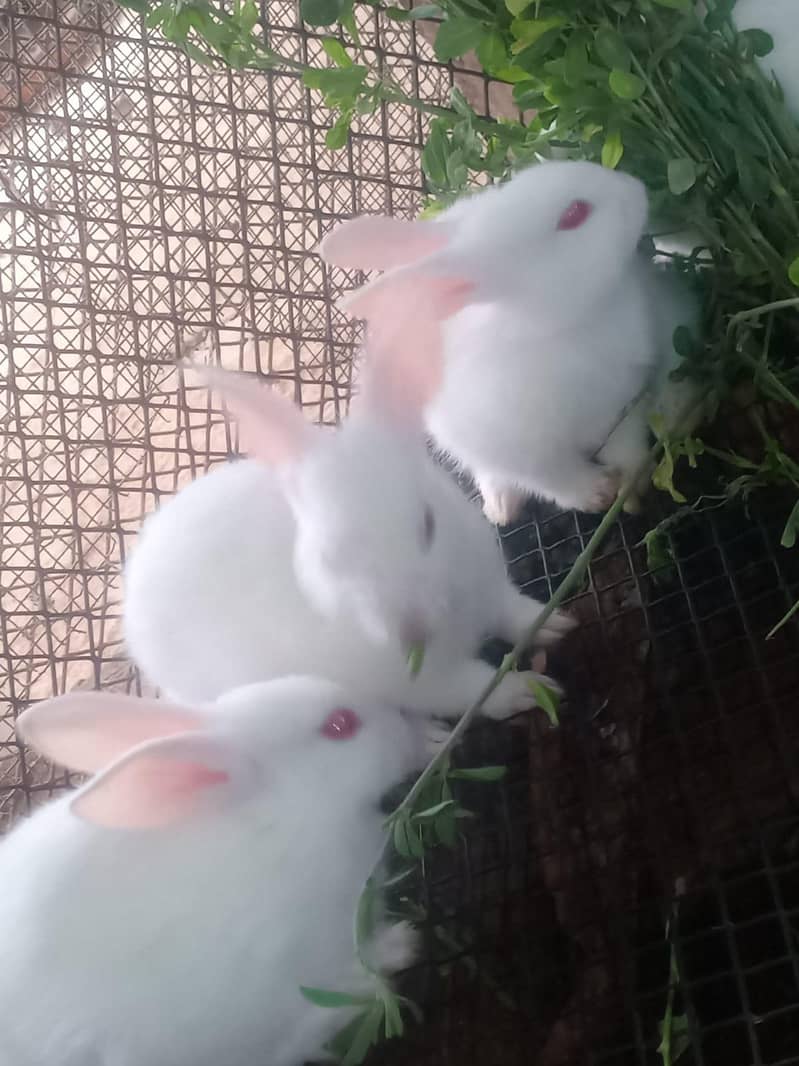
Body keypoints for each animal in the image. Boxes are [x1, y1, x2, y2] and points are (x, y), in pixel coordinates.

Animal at [123, 358, 573, 723]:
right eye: (330, 559)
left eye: (428, 523)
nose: (411, 628)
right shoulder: (425, 681)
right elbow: (476, 689)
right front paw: (532, 690)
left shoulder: (488, 585)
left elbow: (513, 613)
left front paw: (556, 623)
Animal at [320, 159, 701, 524]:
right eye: (574, 213)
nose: (635, 186)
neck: (554, 329)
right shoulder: (511, 448)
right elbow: (553, 479)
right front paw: (598, 493)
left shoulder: (624, 403)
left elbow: (628, 446)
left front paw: (631, 488)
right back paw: (501, 508)